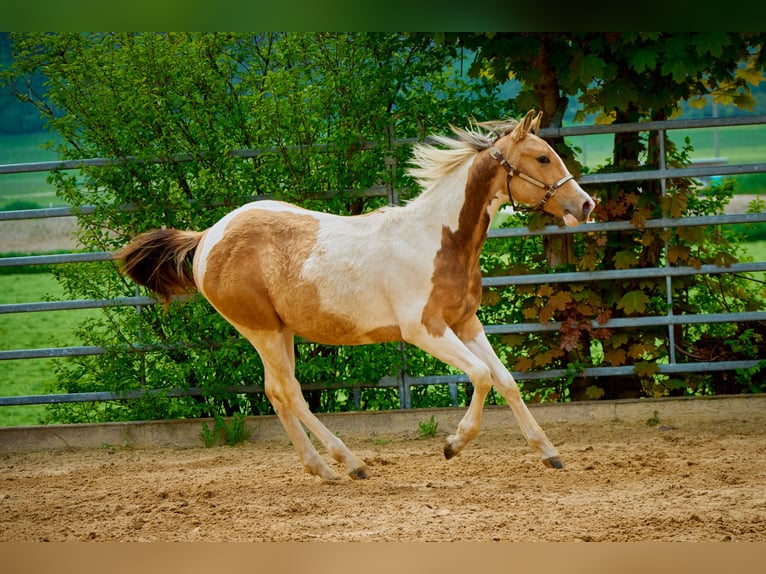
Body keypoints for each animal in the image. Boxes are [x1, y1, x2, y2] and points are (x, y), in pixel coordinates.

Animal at [118, 111, 600, 482]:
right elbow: (481, 376)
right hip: (261, 329)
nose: (586, 205)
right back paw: (351, 464)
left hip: (281, 331)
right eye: (542, 156)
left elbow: (505, 380)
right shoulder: (424, 330)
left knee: (276, 392)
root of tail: (206, 237)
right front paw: (453, 445)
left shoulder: (465, 322)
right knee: (290, 392)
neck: (438, 238)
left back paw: (322, 469)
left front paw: (549, 453)